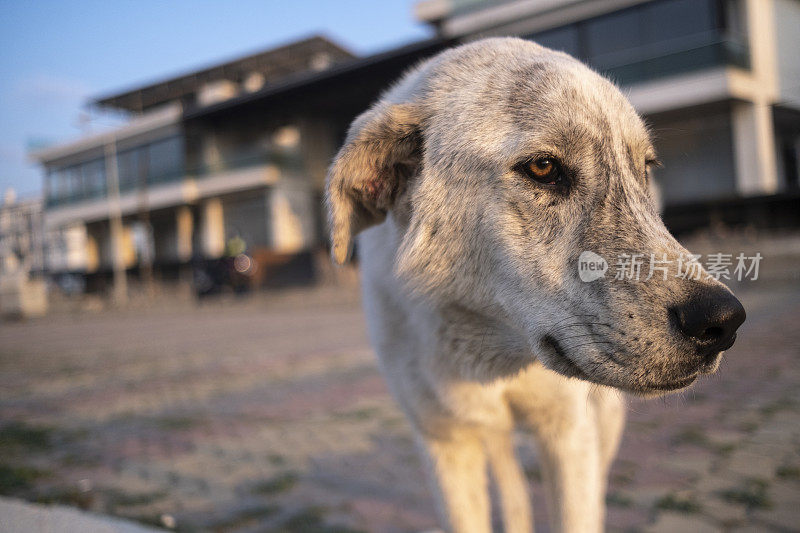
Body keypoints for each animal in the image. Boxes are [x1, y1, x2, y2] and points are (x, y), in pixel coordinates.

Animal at [324, 38, 744, 532]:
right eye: (543, 167)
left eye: (644, 168)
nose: (723, 321)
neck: (492, 353)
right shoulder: (446, 445)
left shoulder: (569, 434)